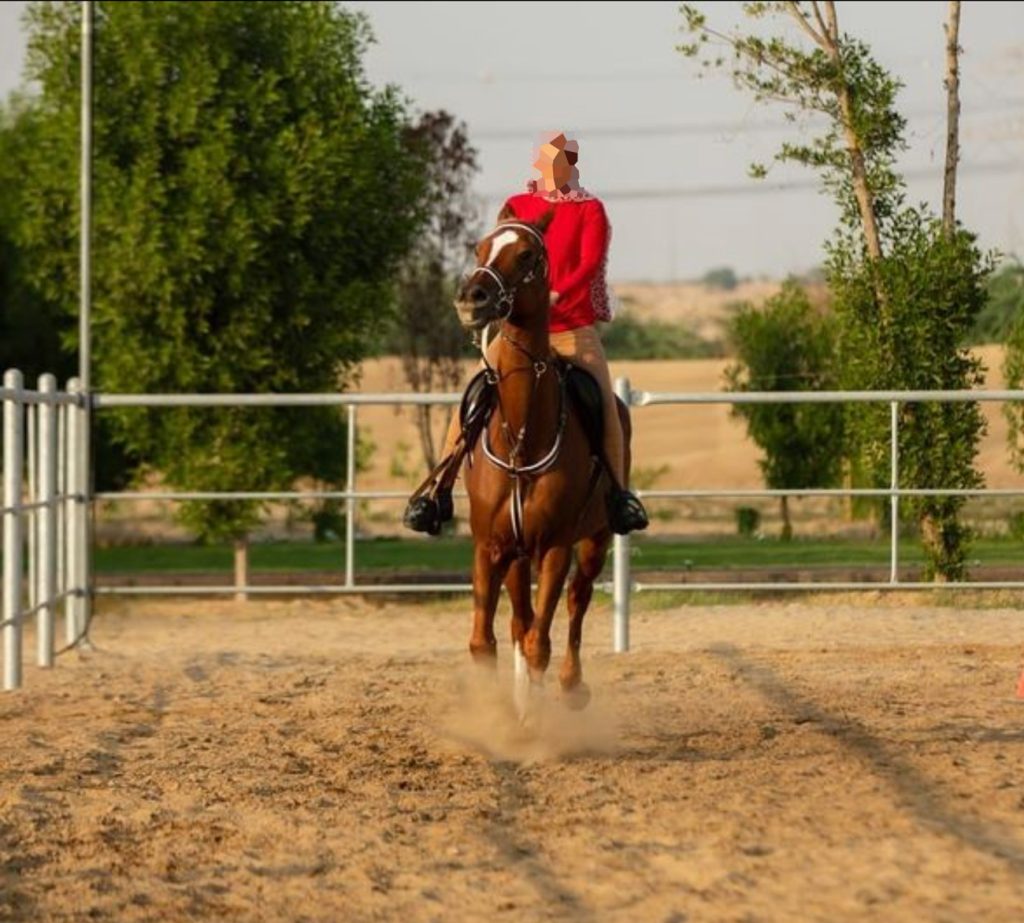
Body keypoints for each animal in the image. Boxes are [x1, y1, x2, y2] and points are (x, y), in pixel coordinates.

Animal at [454, 204, 630, 717]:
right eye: (480, 247)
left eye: (528, 254)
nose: (472, 297)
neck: (523, 436)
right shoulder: (490, 546)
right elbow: (485, 641)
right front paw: (499, 716)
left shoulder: (555, 547)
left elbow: (540, 644)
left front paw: (530, 720)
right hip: (517, 553)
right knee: (521, 620)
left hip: (594, 541)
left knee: (575, 602)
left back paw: (572, 685)